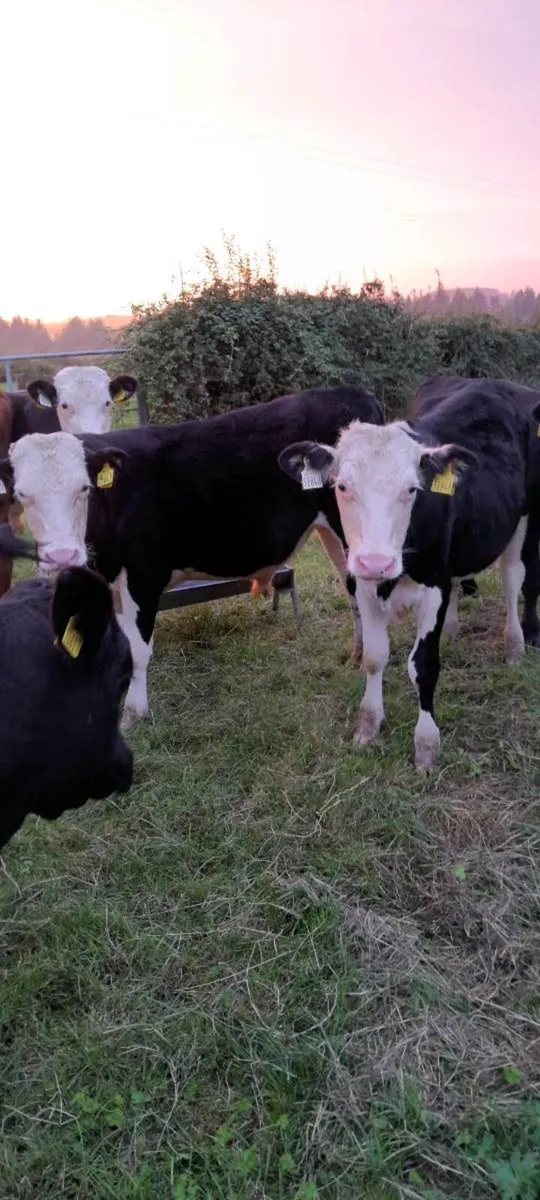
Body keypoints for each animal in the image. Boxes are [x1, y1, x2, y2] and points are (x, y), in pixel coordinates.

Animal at [0, 385, 383, 727]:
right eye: (23, 494)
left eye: (84, 488)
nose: (62, 554)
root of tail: (351, 392)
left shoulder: (144, 576)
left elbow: (138, 649)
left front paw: (134, 714)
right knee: (350, 589)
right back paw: (357, 653)